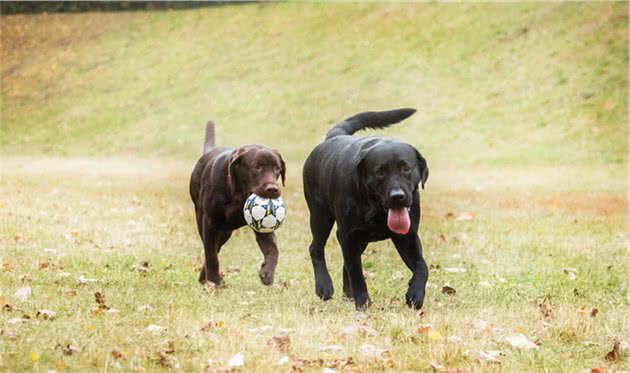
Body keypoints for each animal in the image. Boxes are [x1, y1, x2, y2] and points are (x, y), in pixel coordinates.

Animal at [188, 119, 286, 284]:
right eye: (257, 166)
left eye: (277, 168)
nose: (273, 189)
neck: (238, 195)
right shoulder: (210, 222)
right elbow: (211, 255)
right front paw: (214, 281)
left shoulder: (262, 226)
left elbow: (273, 250)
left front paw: (267, 273)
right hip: (204, 221)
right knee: (211, 249)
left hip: (225, 232)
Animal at [304, 107, 432, 308]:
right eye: (380, 172)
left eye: (406, 168)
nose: (397, 196)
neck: (377, 210)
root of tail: (334, 136)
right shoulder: (347, 234)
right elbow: (357, 274)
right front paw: (363, 303)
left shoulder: (408, 236)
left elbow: (422, 266)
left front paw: (415, 294)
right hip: (320, 216)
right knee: (316, 248)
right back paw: (324, 287)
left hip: (359, 239)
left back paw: (347, 295)